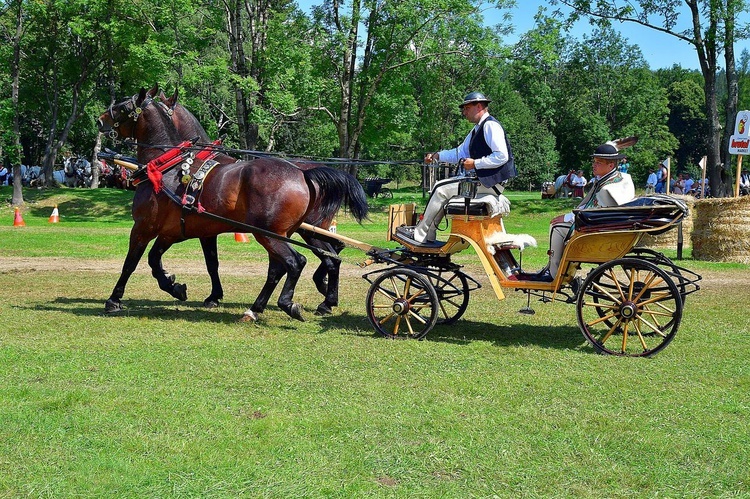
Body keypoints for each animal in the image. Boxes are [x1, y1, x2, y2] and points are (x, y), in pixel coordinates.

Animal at [97, 87, 368, 322]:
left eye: (123, 107)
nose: (100, 121)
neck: (167, 167)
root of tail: (303, 174)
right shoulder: (175, 231)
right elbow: (164, 261)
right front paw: (176, 286)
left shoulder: (144, 227)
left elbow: (131, 262)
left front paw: (114, 299)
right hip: (285, 233)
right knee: (301, 263)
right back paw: (268, 306)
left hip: (275, 233)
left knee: (299, 262)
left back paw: (292, 303)